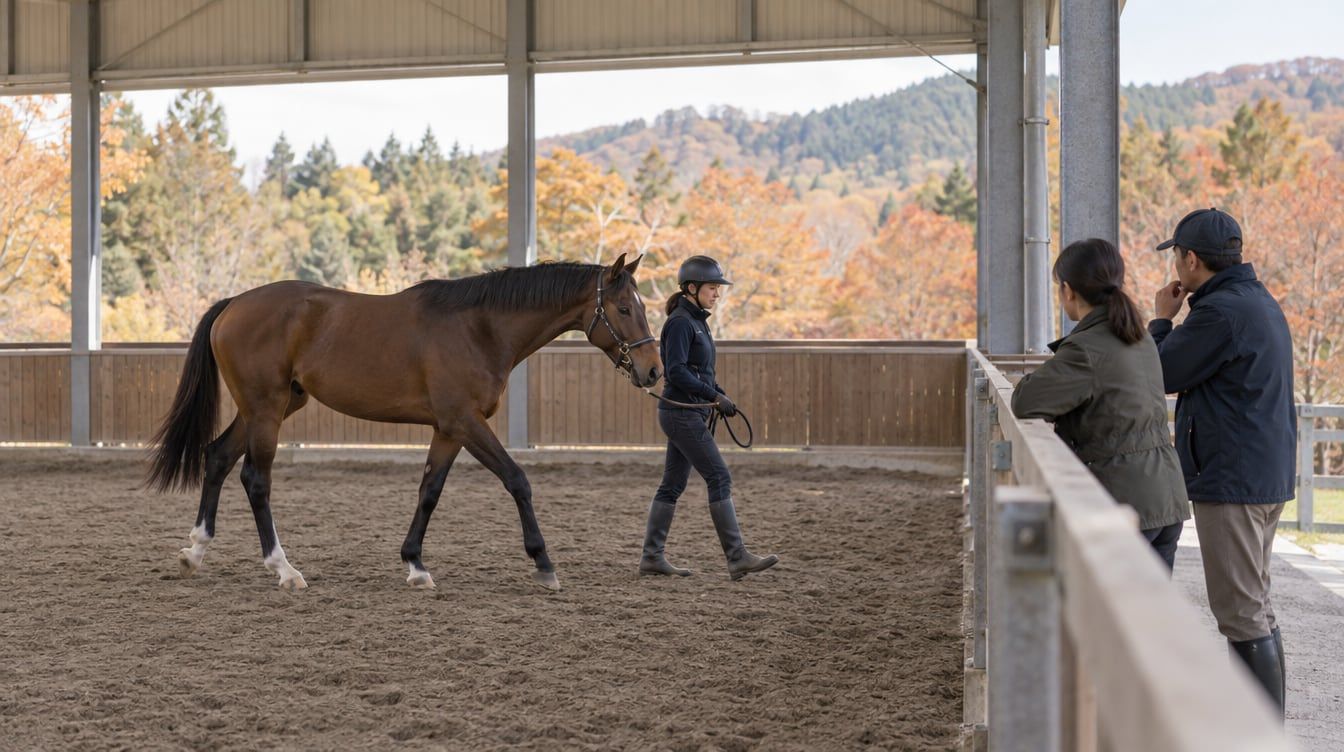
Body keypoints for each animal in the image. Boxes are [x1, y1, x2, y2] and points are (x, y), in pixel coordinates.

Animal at [148, 253, 660, 593]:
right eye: (624, 308)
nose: (654, 371)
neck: (479, 328)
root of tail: (234, 303)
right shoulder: (466, 422)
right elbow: (517, 480)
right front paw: (543, 562)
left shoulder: (448, 429)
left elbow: (429, 491)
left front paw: (415, 563)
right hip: (266, 410)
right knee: (255, 480)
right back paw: (284, 569)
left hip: (265, 408)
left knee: (217, 458)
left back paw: (195, 551)